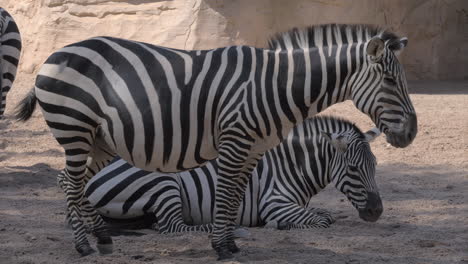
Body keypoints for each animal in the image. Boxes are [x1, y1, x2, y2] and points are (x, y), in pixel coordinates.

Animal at [77, 116, 384, 233]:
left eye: (375, 164)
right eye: (353, 169)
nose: (377, 211)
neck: (291, 165)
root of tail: (93, 181)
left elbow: (324, 214)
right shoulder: (274, 203)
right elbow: (322, 220)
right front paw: (279, 225)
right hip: (164, 182)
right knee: (171, 227)